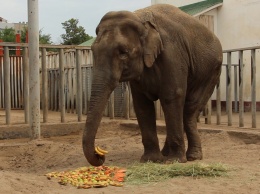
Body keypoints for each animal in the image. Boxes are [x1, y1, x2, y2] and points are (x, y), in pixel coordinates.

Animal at [82, 3, 222, 166]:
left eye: (123, 52)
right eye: (93, 51)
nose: (101, 155)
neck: (140, 18)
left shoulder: (172, 54)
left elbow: (171, 96)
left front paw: (174, 161)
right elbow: (142, 104)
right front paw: (151, 160)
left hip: (211, 72)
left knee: (189, 109)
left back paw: (192, 157)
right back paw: (167, 153)